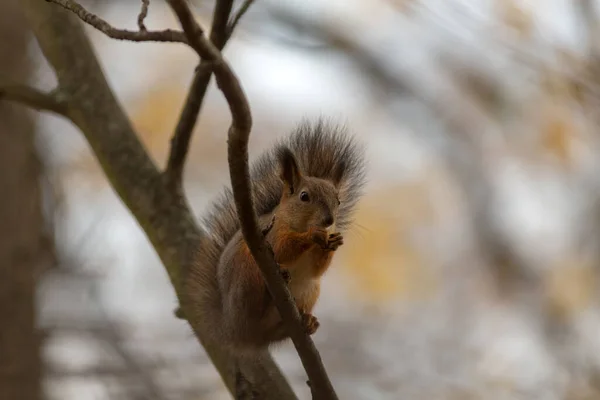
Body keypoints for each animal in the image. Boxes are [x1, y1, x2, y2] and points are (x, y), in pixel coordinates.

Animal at [180, 119, 364, 354]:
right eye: (304, 196)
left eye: (338, 201)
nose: (329, 221)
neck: (296, 223)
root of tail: (233, 330)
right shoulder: (270, 235)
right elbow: (283, 248)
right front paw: (312, 235)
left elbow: (317, 269)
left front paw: (333, 243)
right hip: (247, 275)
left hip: (310, 291)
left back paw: (307, 322)